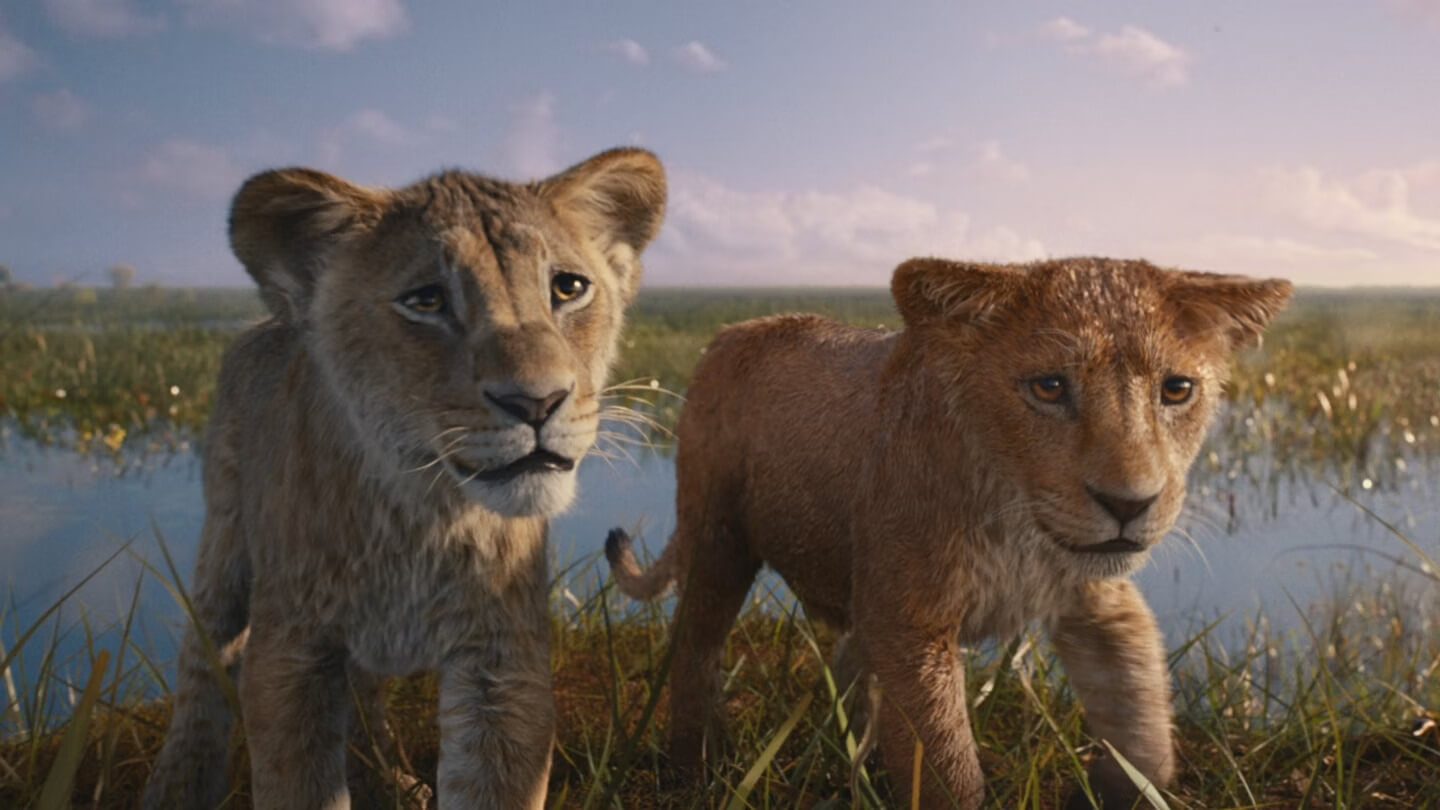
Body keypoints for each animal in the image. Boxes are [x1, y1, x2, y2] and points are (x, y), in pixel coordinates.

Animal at [142, 147, 666, 810]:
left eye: (567, 287)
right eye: (427, 300)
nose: (538, 402)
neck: (421, 512)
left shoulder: (501, 662)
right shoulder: (291, 654)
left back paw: (387, 778)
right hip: (225, 535)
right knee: (203, 654)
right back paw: (177, 784)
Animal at [606, 257, 1291, 808]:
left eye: (1177, 390)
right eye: (1049, 387)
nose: (1130, 503)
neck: (1019, 524)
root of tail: (733, 330)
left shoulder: (1097, 601)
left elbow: (1143, 719)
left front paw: (1120, 787)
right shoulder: (913, 623)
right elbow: (948, 769)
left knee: (850, 663)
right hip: (717, 535)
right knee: (696, 644)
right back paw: (695, 768)